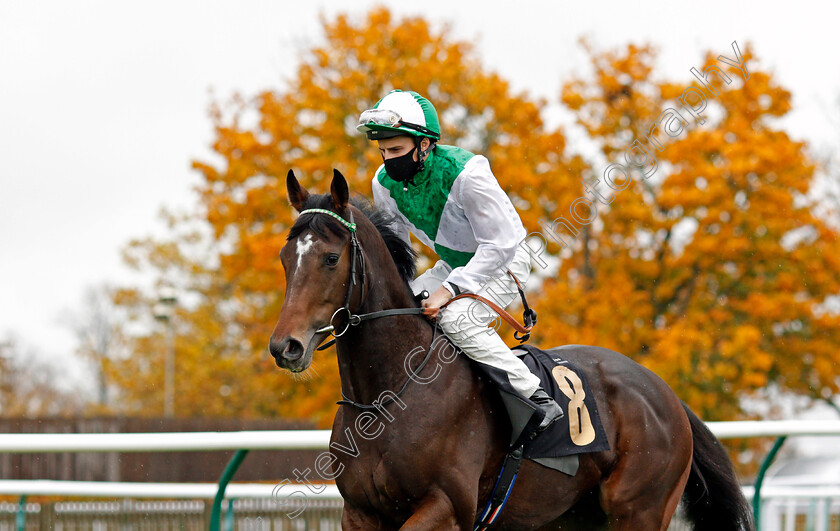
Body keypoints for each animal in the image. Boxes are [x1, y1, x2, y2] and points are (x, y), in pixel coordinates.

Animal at [270, 170, 756, 531]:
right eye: (284, 258)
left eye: (331, 258)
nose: (285, 346)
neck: (387, 396)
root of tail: (667, 395)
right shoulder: (360, 513)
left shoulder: (447, 508)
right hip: (572, 517)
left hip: (640, 509)